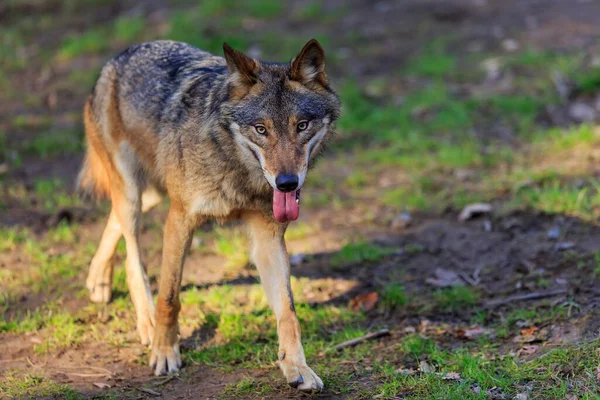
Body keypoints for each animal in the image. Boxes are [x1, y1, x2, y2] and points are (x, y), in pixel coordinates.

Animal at [79, 38, 340, 390]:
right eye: (261, 129)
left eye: (301, 125)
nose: (287, 183)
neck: (237, 167)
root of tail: (121, 56)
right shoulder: (180, 219)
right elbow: (169, 297)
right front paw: (165, 352)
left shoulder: (268, 236)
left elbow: (288, 311)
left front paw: (297, 368)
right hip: (134, 193)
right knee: (134, 259)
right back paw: (145, 321)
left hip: (153, 194)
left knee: (113, 219)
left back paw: (99, 279)